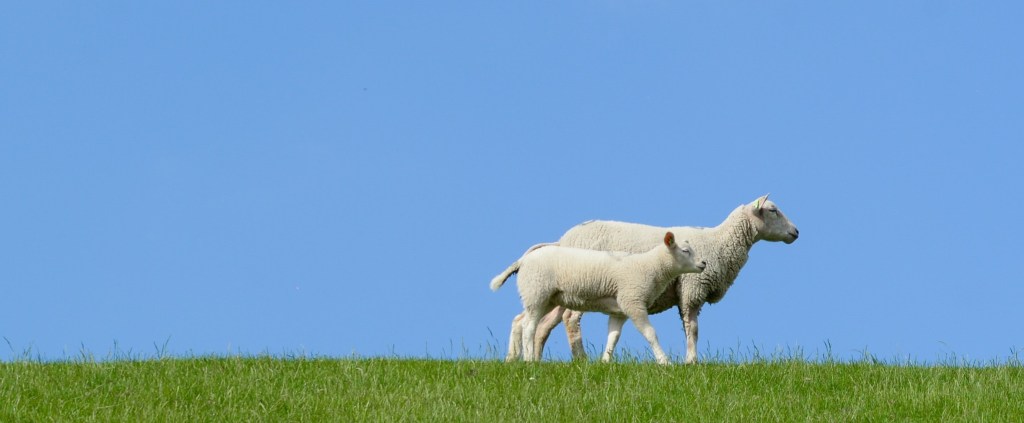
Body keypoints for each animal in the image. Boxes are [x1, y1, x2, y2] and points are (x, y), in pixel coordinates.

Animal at [491, 232, 706, 365]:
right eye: (685, 251)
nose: (704, 263)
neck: (650, 267)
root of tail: (523, 260)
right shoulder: (633, 302)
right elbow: (650, 333)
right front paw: (664, 361)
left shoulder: (620, 310)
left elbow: (613, 337)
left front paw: (605, 361)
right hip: (537, 292)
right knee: (529, 326)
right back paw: (529, 360)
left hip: (545, 298)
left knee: (520, 321)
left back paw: (513, 358)